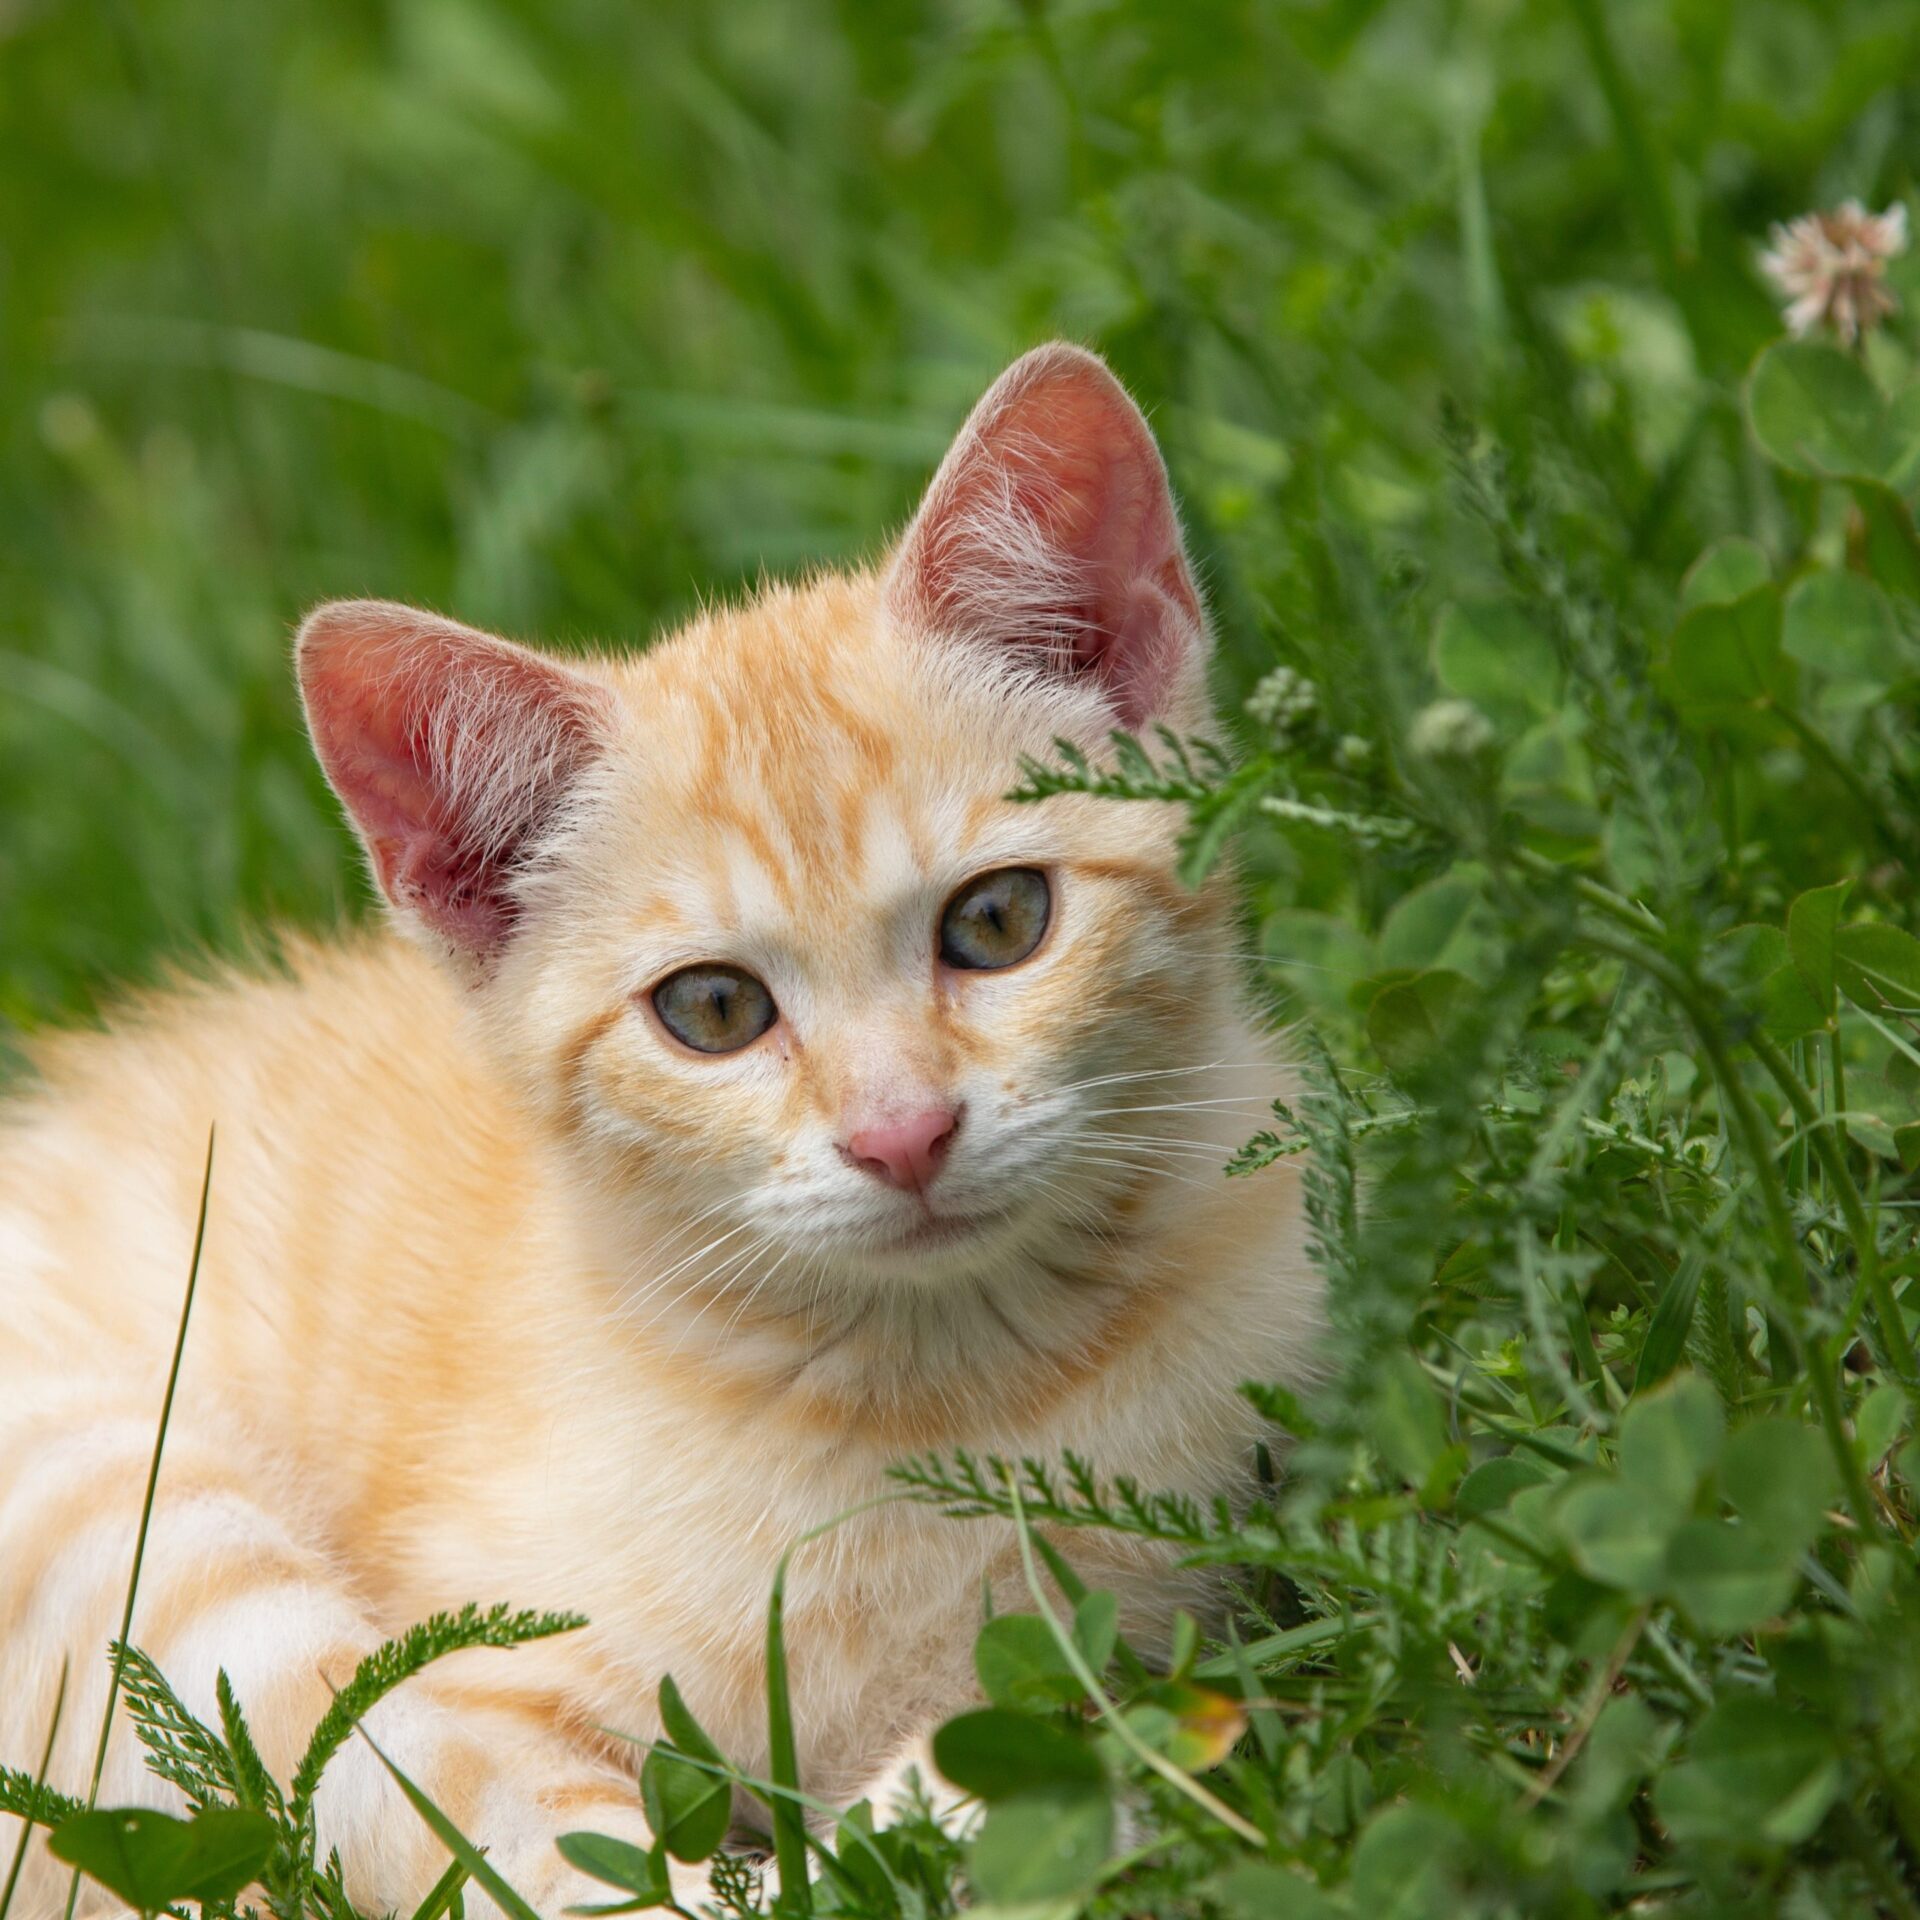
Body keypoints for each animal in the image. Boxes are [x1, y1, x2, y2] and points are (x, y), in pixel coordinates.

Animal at [0, 345, 1320, 1920]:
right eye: (712, 1009)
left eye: (1001, 921)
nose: (903, 1134)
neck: (934, 1388)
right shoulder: (454, 1694)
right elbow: (525, 1852)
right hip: (116, 1508)